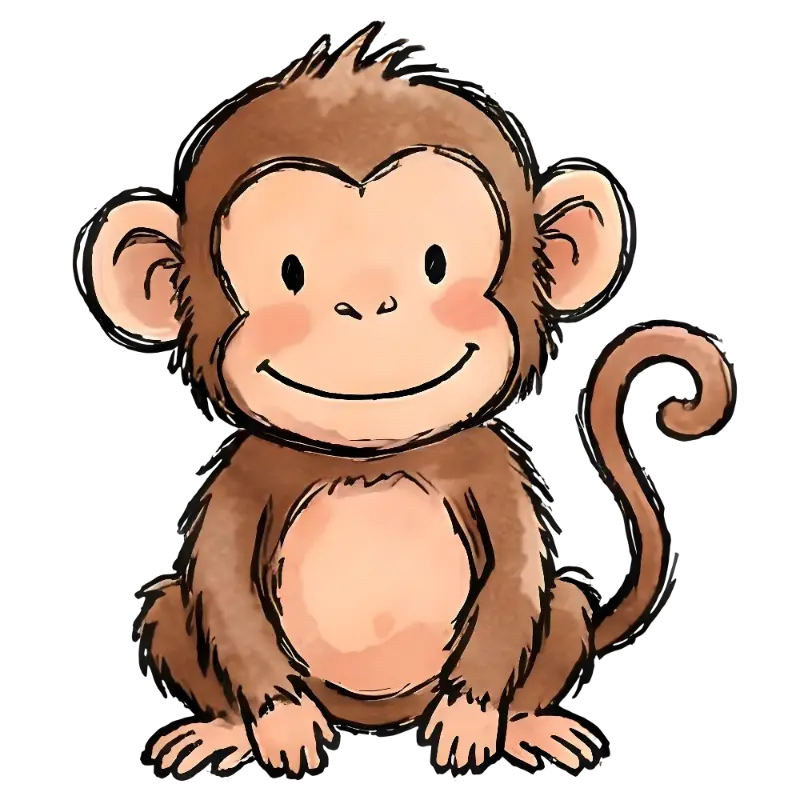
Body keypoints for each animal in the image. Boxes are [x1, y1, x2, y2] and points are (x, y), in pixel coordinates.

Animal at [83, 24, 733, 777]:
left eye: (435, 261)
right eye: (290, 271)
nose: (368, 302)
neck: (370, 459)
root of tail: (377, 715)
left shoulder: (492, 468)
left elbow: (515, 579)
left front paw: (473, 714)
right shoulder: (245, 476)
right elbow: (222, 585)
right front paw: (278, 723)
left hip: (549, 623)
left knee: (564, 603)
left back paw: (524, 725)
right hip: (192, 628)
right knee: (168, 610)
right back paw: (227, 731)